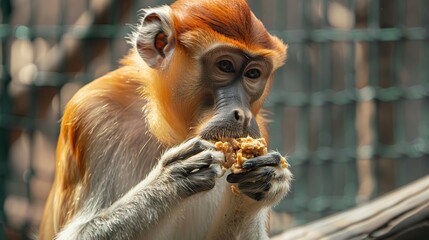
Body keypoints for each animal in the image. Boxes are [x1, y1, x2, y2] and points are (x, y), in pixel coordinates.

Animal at [39, 0, 290, 239]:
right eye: (225, 65)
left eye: (253, 74)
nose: (243, 114)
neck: (167, 128)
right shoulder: (92, 112)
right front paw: (172, 178)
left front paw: (266, 179)